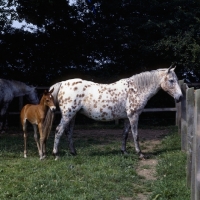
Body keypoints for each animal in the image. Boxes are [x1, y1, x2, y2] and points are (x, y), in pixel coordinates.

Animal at [45, 66, 183, 160]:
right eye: (171, 80)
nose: (180, 97)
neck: (136, 89)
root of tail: (62, 84)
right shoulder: (134, 116)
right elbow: (136, 135)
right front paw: (140, 154)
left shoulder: (127, 118)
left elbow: (125, 135)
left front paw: (124, 152)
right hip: (68, 115)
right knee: (58, 130)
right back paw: (56, 154)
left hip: (72, 116)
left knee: (68, 132)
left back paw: (74, 153)